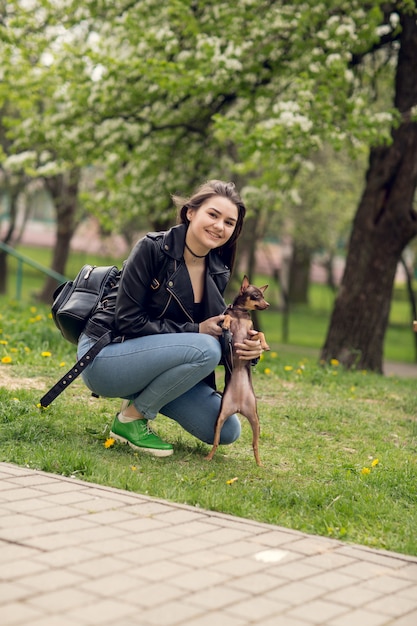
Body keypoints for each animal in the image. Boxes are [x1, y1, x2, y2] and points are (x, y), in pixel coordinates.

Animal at [205, 274, 270, 464]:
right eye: (256, 296)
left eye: (263, 296)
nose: (268, 304)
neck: (241, 313)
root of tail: (239, 407)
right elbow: (226, 319)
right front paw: (227, 323)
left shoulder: (250, 334)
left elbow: (260, 333)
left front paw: (264, 345)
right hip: (220, 418)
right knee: (216, 442)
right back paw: (209, 457)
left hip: (255, 420)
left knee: (255, 445)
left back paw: (259, 463)